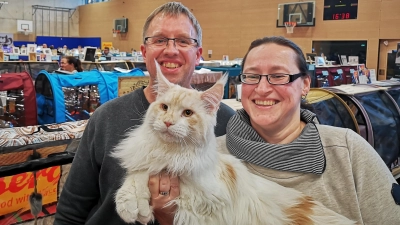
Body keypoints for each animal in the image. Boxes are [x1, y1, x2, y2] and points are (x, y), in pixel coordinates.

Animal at [111, 62, 356, 225]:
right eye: (164, 107)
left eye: (188, 113)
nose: (168, 122)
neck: (170, 152)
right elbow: (139, 172)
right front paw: (134, 205)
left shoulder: (203, 201)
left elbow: (149, 173)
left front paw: (137, 207)